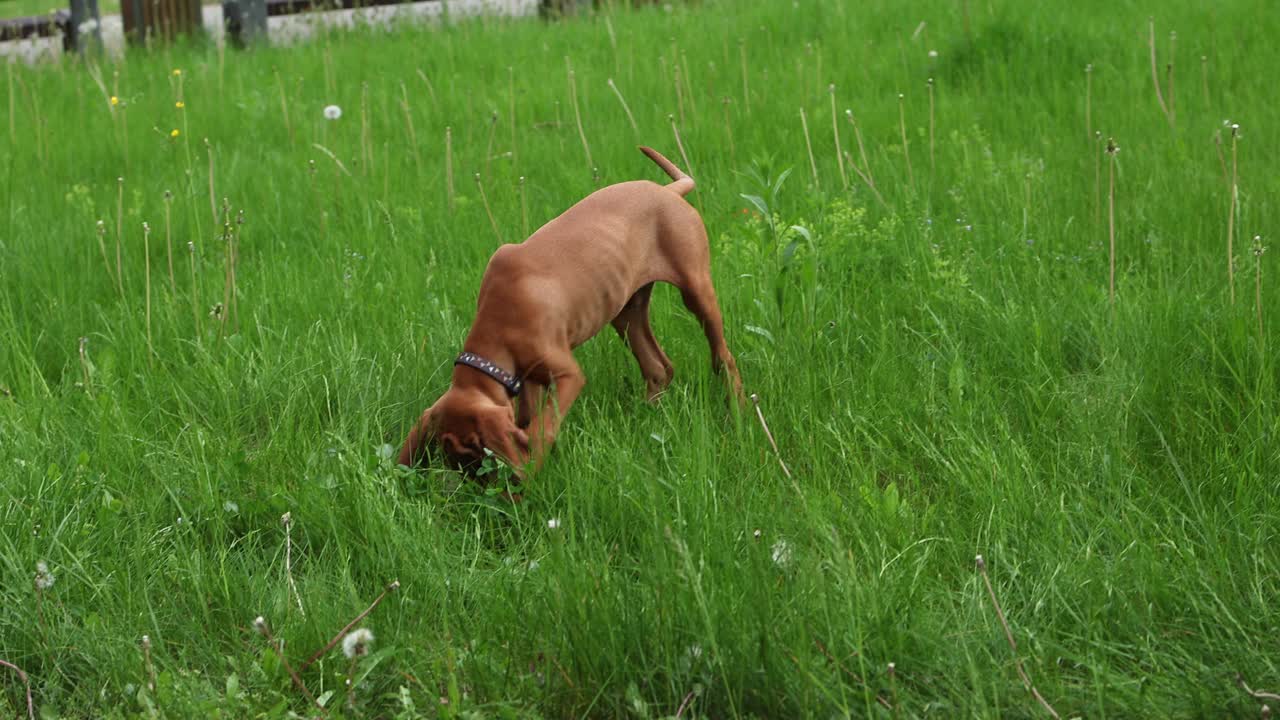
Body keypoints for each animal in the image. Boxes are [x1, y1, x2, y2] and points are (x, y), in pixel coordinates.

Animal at [396, 144, 742, 476]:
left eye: (478, 456)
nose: (488, 489)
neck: (499, 325)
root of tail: (669, 191)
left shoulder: (566, 375)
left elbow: (543, 426)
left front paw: (531, 467)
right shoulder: (530, 379)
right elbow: (527, 419)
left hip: (695, 288)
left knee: (722, 357)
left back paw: (737, 411)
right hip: (625, 310)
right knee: (658, 367)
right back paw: (650, 416)